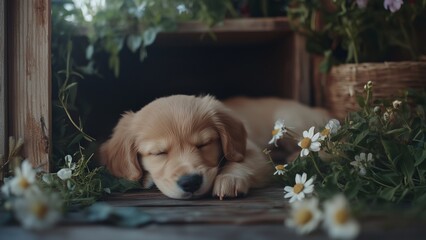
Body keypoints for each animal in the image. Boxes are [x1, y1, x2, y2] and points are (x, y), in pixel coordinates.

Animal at [100, 94, 330, 200]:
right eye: (159, 153)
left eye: (204, 144)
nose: (190, 182)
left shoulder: (252, 151)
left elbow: (240, 163)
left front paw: (229, 179)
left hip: (290, 120)